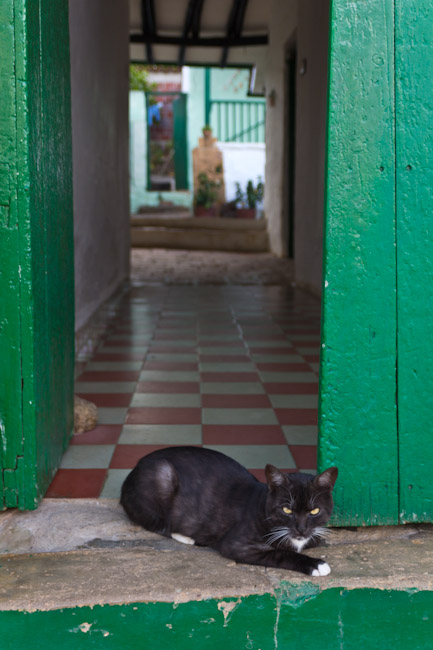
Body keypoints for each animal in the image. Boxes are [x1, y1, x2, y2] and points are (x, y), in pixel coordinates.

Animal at [119, 442, 338, 576]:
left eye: (314, 511)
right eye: (287, 510)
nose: (301, 529)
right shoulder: (238, 544)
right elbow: (281, 553)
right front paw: (316, 564)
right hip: (162, 474)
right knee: (157, 523)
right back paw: (189, 538)